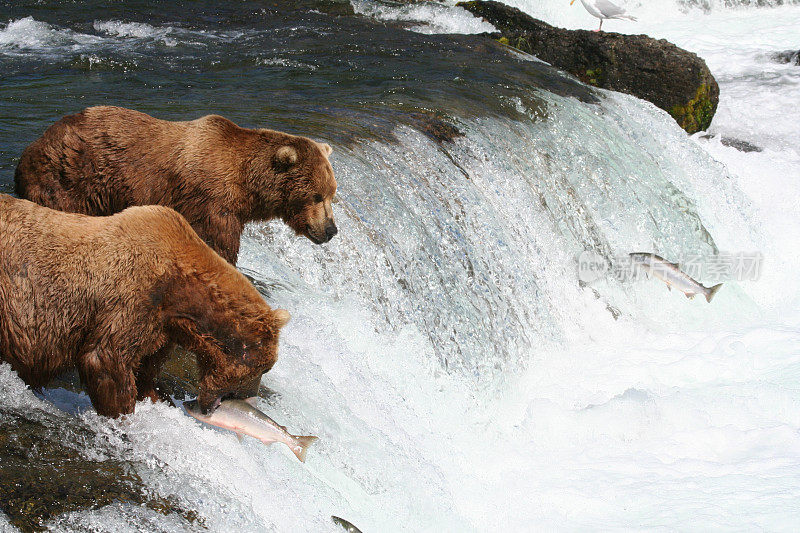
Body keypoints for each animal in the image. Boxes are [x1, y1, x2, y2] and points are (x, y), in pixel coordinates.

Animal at [0, 193, 290, 418]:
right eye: (265, 368)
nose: (249, 398)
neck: (182, 293)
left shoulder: (162, 324)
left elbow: (147, 363)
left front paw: (155, 395)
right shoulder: (133, 295)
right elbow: (105, 359)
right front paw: (125, 414)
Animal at [13, 106, 338, 266]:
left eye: (332, 194)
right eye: (316, 195)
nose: (331, 229)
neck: (245, 184)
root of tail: (32, 145)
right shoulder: (211, 202)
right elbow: (218, 245)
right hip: (72, 178)